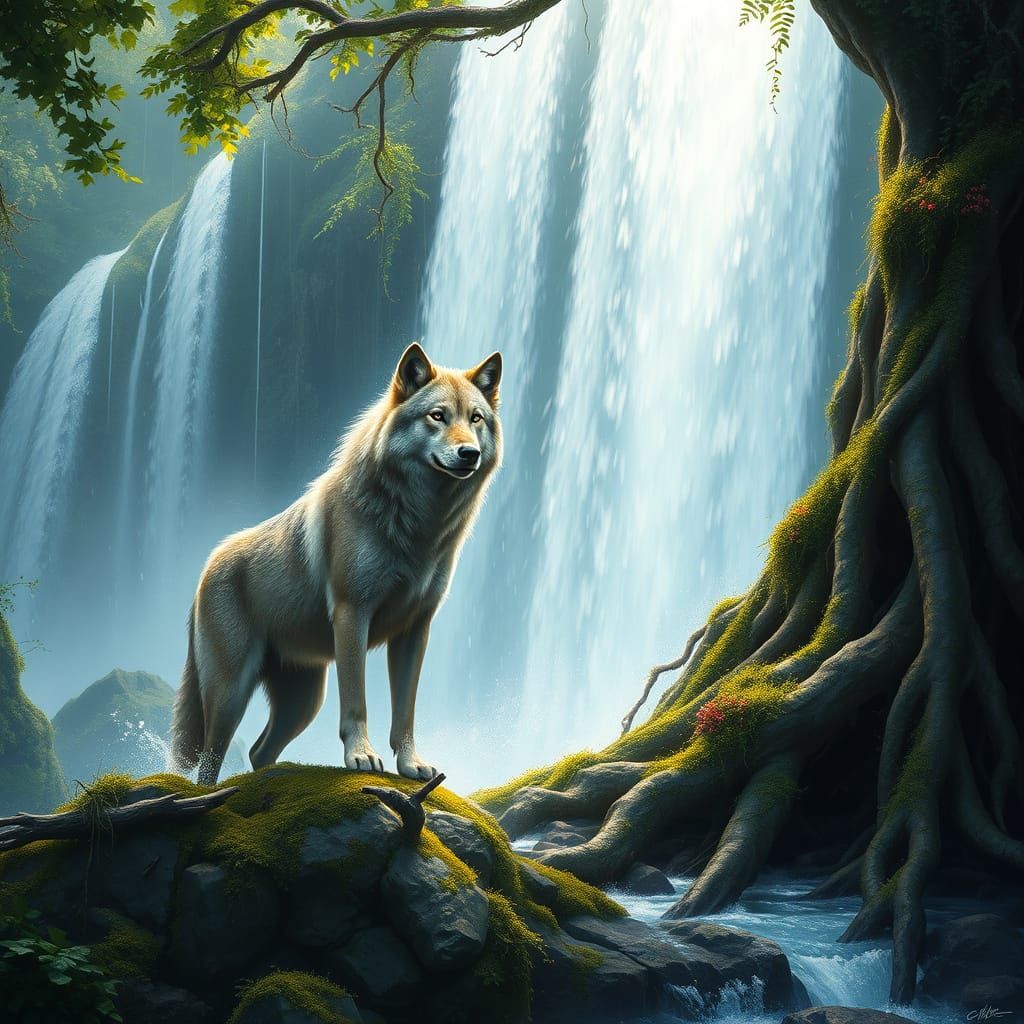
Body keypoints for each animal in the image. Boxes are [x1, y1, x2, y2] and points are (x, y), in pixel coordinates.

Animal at [170, 343, 502, 784]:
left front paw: (411, 766)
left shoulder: (416, 630)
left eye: (475, 418)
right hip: (230, 695)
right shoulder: (352, 614)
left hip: (304, 702)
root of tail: (208, 563)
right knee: (209, 763)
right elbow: (357, 701)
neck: (417, 526)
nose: (470, 453)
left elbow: (406, 712)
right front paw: (361, 757)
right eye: (438, 416)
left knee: (259, 751)